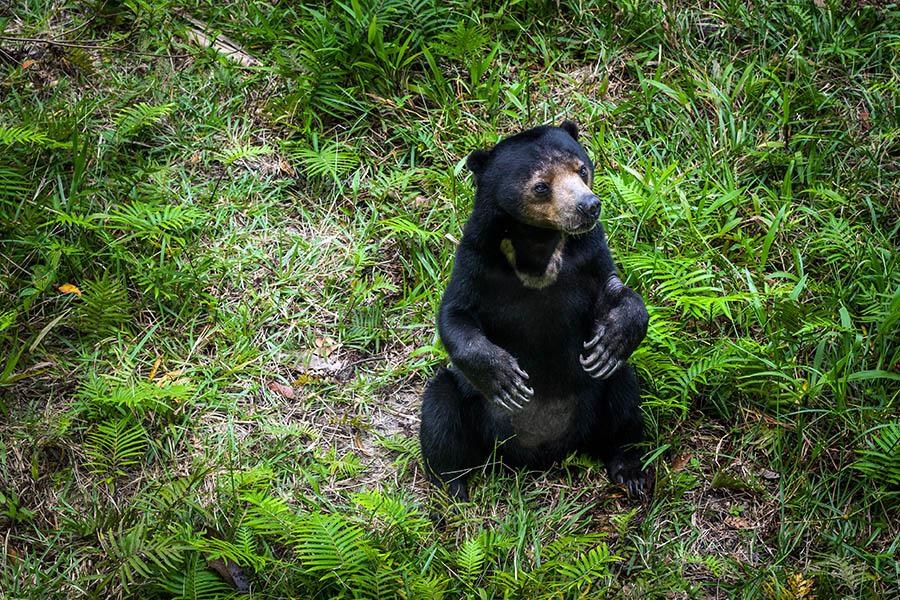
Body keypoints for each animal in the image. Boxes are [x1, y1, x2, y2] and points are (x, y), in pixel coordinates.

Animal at [419, 121, 650, 503]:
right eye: (541, 186)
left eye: (581, 169)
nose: (589, 206)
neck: (538, 244)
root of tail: (541, 455)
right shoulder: (476, 259)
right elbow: (455, 316)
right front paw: (506, 378)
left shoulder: (590, 255)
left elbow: (616, 292)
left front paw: (611, 341)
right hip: (474, 412)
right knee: (440, 411)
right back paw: (452, 490)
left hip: (595, 402)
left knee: (624, 399)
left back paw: (629, 470)